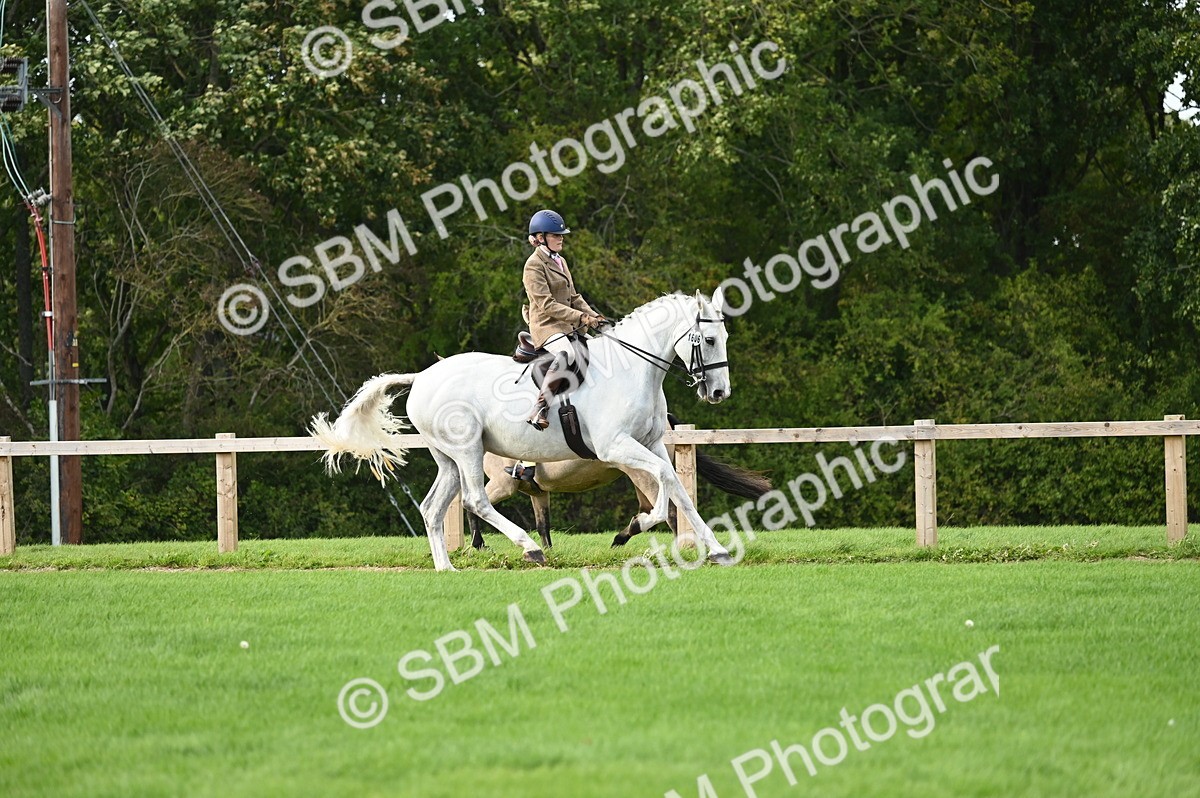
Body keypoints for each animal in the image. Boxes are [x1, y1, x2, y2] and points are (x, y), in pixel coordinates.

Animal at [310, 289, 735, 571]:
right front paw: (636, 525)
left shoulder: (651, 443)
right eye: (709, 339)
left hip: (448, 458)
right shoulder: (615, 447)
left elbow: (679, 490)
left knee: (433, 507)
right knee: (475, 500)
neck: (633, 371)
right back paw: (530, 548)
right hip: (468, 449)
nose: (719, 393)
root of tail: (423, 376)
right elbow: (663, 484)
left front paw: (717, 549)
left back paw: (446, 567)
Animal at [466, 413, 772, 550]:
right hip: (638, 476)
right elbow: (543, 525)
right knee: (651, 510)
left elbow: (472, 507)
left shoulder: (503, 485)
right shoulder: (538, 492)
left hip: (642, 474)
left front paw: (478, 544)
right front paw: (548, 553)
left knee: (669, 512)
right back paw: (621, 538)